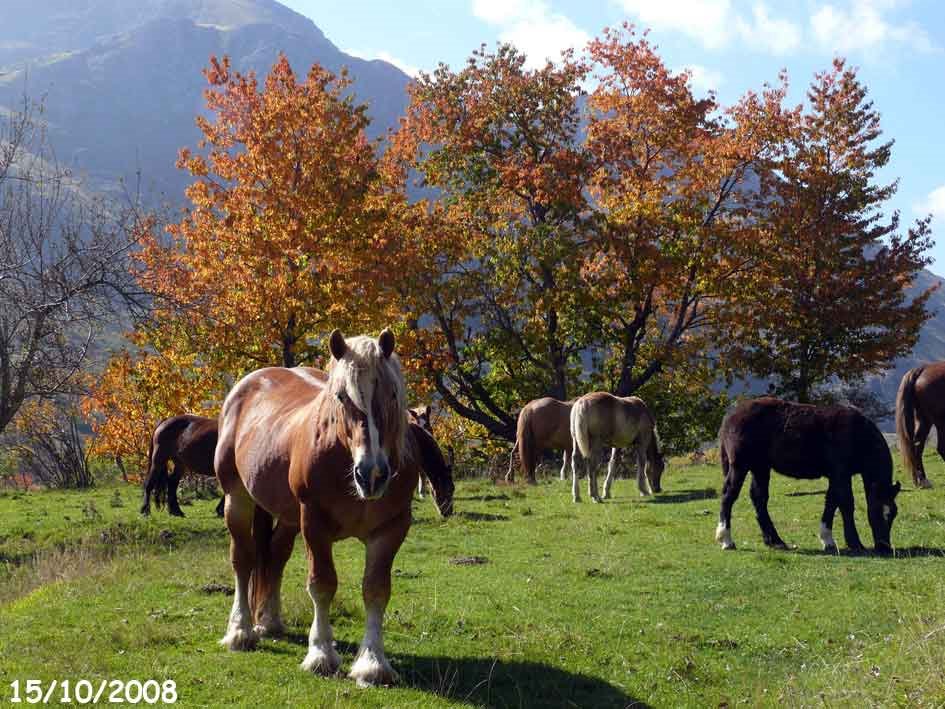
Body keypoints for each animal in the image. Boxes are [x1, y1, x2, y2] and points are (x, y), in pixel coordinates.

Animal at [216, 328, 422, 684]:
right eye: (341, 397)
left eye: (392, 394)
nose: (372, 474)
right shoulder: (314, 522)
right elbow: (322, 584)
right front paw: (321, 654)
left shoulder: (392, 528)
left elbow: (376, 590)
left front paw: (372, 663)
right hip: (237, 499)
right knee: (243, 560)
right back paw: (241, 632)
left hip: (287, 517)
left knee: (275, 557)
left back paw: (269, 621)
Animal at [716, 398, 900, 552]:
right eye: (878, 511)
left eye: (893, 514)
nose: (884, 547)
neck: (857, 434)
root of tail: (731, 416)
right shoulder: (841, 473)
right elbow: (846, 503)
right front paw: (855, 543)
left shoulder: (835, 475)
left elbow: (831, 502)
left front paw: (828, 541)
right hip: (740, 465)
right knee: (729, 495)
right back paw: (726, 540)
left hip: (760, 467)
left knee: (759, 498)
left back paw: (775, 541)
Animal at [892, 362, 944, 490]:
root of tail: (923, 369)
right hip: (940, 421)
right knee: (941, 447)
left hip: (924, 418)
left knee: (917, 445)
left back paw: (922, 481)